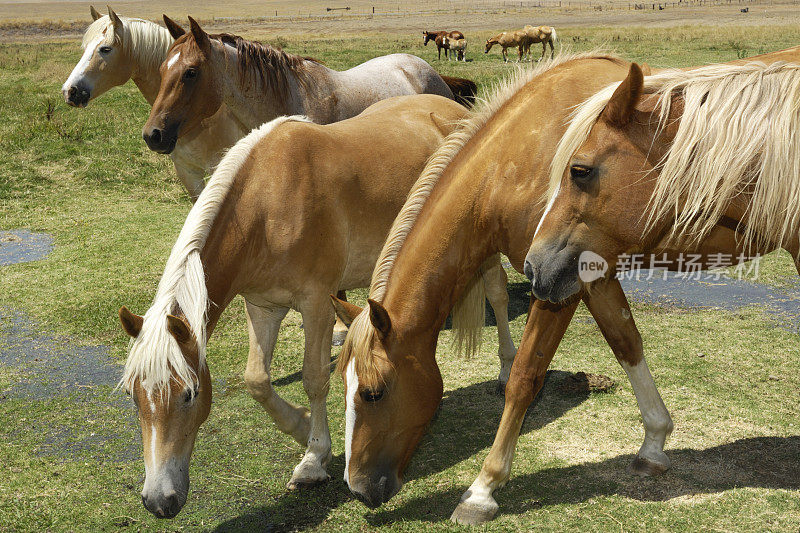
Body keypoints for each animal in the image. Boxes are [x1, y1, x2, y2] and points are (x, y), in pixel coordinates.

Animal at [115, 93, 520, 516]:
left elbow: (314, 378)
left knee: (498, 293)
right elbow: (257, 380)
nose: (158, 501)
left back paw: (507, 368)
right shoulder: (262, 307)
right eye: (133, 397)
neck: (266, 205)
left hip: (483, 251)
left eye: (189, 394)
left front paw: (313, 459)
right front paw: (300, 426)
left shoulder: (317, 304)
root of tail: (455, 108)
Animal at [332, 45, 800, 524]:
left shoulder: (560, 287)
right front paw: (654, 442)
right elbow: (626, 342)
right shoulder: (588, 277)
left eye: (373, 393)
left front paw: (483, 489)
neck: (517, 161)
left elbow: (525, 376)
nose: (359, 489)